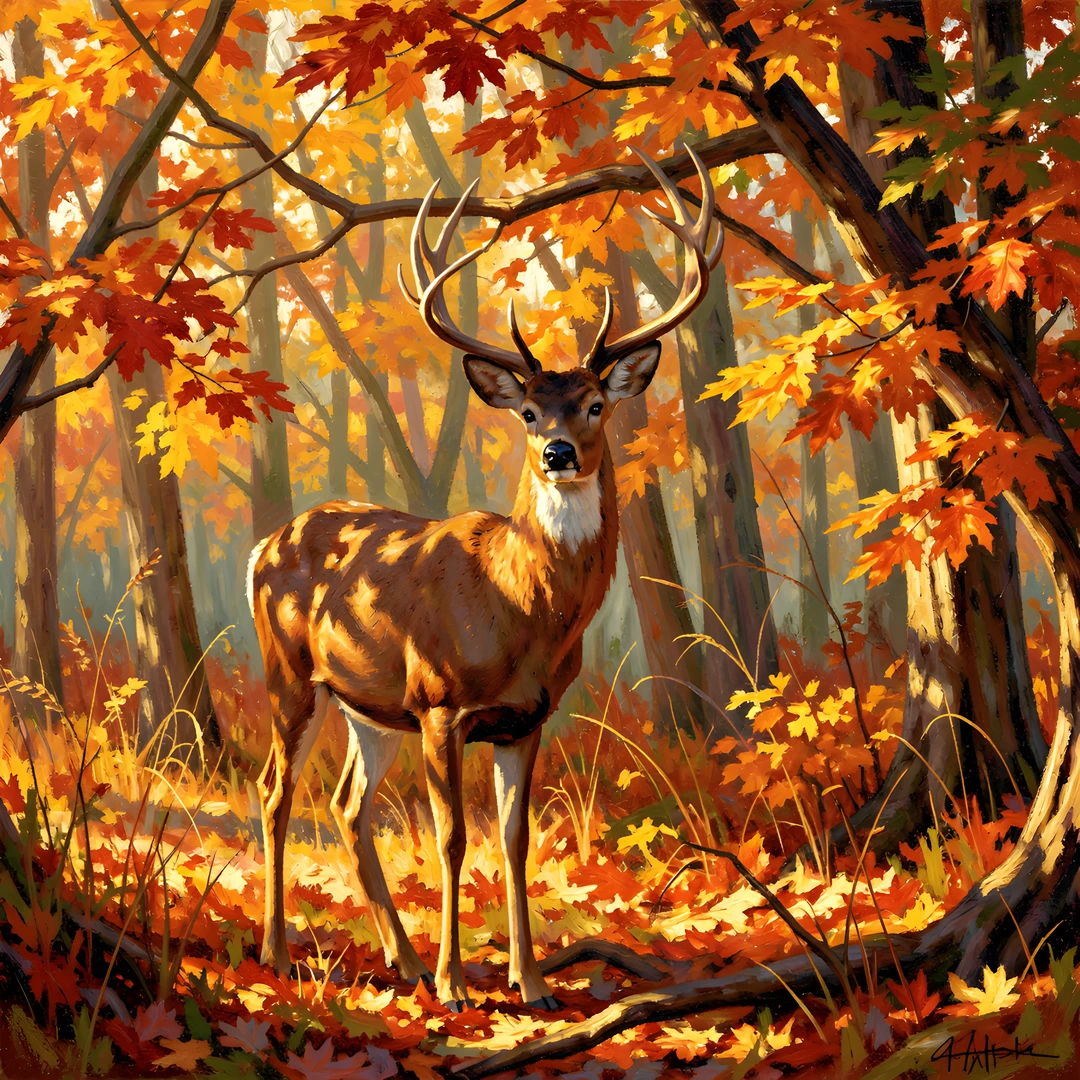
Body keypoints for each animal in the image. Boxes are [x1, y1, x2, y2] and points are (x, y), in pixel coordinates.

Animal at [248, 145, 723, 1011]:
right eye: (528, 412)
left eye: (596, 403)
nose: (558, 453)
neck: (520, 616)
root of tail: (264, 544)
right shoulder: (440, 703)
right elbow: (452, 836)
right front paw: (457, 983)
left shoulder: (527, 717)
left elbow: (514, 836)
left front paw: (529, 981)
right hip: (291, 674)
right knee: (275, 791)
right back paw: (277, 951)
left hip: (371, 707)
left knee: (347, 804)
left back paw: (399, 961)